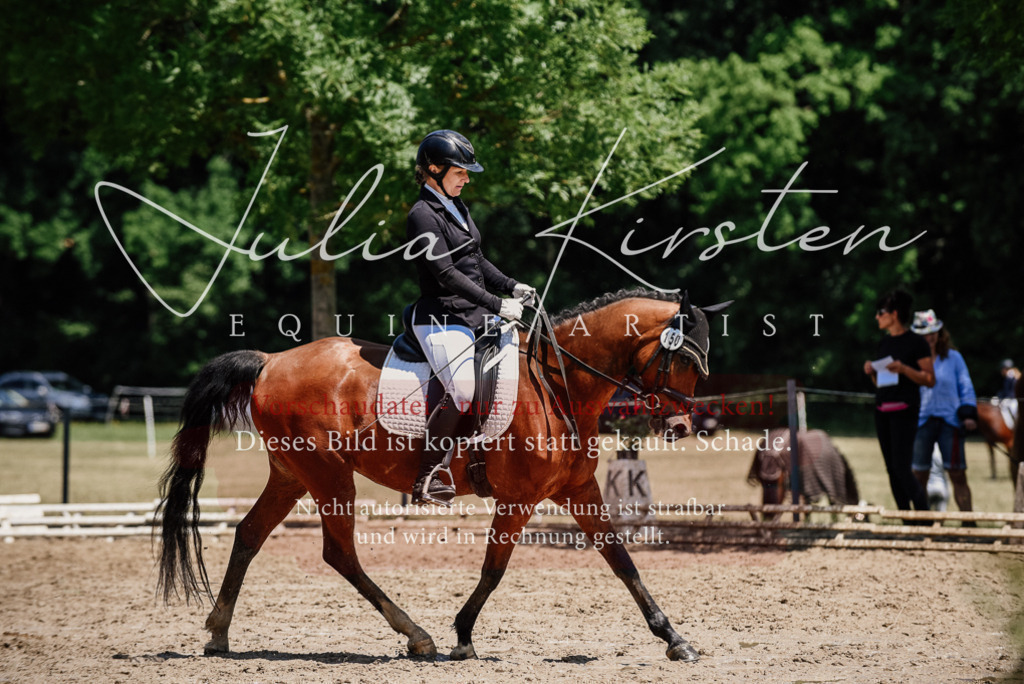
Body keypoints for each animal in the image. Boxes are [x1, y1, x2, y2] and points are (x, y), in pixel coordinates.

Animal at [156, 288, 729, 663]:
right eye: (683, 360)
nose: (680, 426)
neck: (557, 387)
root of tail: (271, 360)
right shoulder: (518, 498)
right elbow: (494, 569)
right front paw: (463, 635)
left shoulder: (578, 491)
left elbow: (622, 562)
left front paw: (674, 639)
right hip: (328, 476)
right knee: (339, 553)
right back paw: (418, 636)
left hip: (291, 475)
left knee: (249, 534)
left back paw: (219, 634)